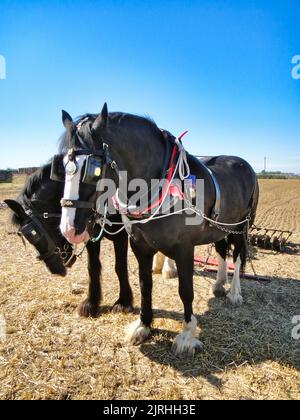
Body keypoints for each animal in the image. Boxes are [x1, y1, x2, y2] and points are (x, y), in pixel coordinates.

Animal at [4, 162, 132, 316]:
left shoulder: (121, 235)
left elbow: (120, 267)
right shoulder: (90, 236)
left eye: (33, 233)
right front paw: (91, 303)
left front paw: (123, 302)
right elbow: (93, 267)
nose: (55, 270)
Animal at [59, 105, 260, 354]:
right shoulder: (139, 245)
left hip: (241, 227)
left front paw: (187, 336)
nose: (68, 228)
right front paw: (143, 325)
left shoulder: (184, 248)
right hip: (220, 228)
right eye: (62, 167)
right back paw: (218, 285)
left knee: (239, 256)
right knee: (222, 251)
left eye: (93, 169)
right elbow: (145, 285)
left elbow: (186, 290)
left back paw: (234, 292)